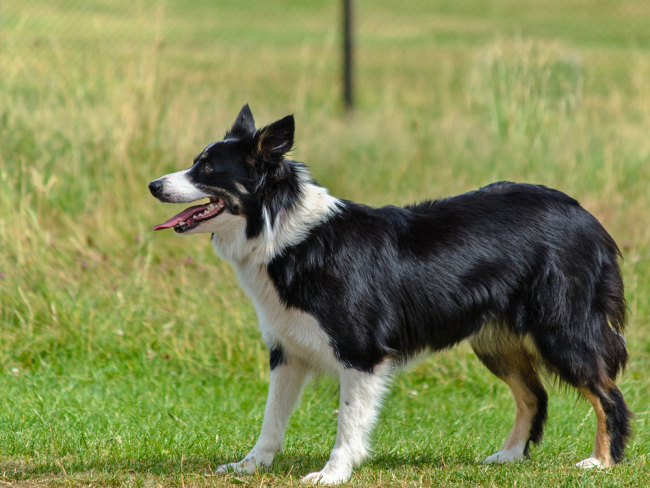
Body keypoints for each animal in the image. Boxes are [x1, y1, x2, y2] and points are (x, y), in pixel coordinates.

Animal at [148, 105, 628, 482]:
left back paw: (601, 462)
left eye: (207, 170)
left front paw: (333, 473)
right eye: (195, 163)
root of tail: (584, 214)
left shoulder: (360, 353)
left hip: (561, 330)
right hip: (494, 339)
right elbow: (271, 420)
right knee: (534, 395)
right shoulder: (287, 350)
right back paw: (508, 456)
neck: (281, 232)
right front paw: (250, 466)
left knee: (607, 394)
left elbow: (348, 422)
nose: (153, 185)